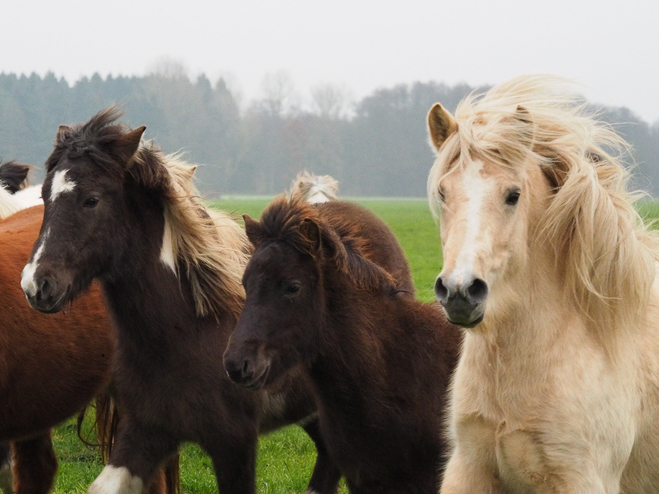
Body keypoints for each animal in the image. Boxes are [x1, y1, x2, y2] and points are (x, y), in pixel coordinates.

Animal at [19, 108, 356, 494]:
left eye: (91, 200)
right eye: (44, 197)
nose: (36, 284)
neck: (187, 328)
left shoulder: (234, 441)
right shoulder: (147, 428)